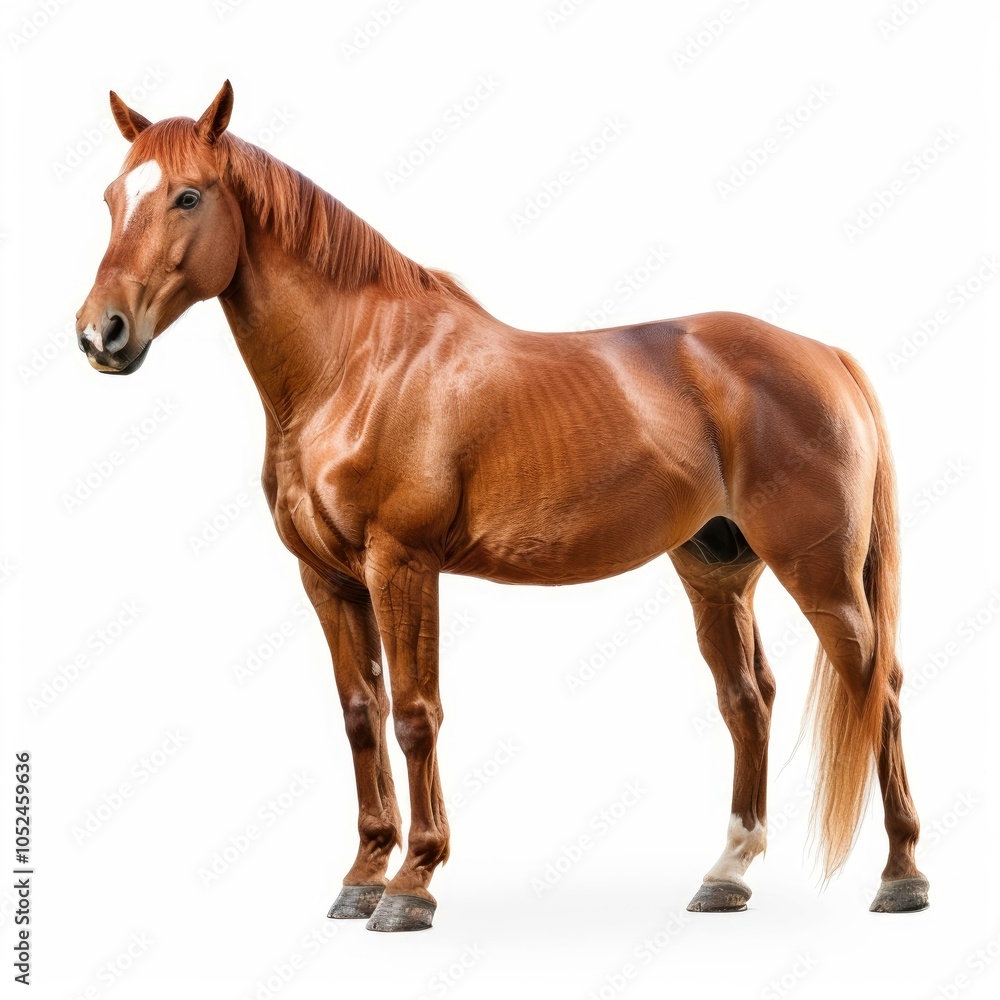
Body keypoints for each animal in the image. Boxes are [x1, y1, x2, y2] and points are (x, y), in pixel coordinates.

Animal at [75, 81, 929, 931]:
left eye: (188, 195)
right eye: (113, 196)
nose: (100, 333)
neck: (355, 365)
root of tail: (825, 356)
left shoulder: (402, 565)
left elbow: (415, 714)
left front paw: (412, 885)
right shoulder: (328, 579)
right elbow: (360, 715)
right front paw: (361, 876)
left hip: (821, 576)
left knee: (878, 688)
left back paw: (902, 876)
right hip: (718, 572)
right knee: (747, 700)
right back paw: (726, 875)